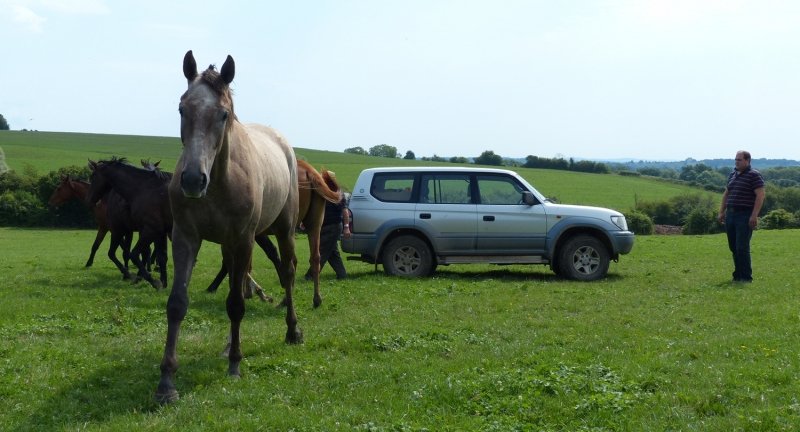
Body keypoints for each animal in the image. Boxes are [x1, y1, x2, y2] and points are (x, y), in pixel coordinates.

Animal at [87, 157, 172, 289]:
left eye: (93, 176)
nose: (90, 200)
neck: (144, 188)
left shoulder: (122, 230)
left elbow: (122, 254)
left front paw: (135, 276)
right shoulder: (154, 232)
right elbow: (160, 256)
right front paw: (162, 282)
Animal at [156, 51, 302, 404]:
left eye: (223, 114)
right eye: (182, 108)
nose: (193, 180)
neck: (220, 181)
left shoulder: (244, 239)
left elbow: (236, 304)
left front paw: (235, 365)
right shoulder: (186, 237)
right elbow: (177, 304)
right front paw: (166, 381)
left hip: (283, 230)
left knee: (287, 273)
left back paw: (292, 330)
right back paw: (228, 345)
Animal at [205, 159, 341, 308]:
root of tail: (308, 170)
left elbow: (237, 261)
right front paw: (249, 291)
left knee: (292, 260)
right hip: (313, 224)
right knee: (314, 258)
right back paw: (314, 299)